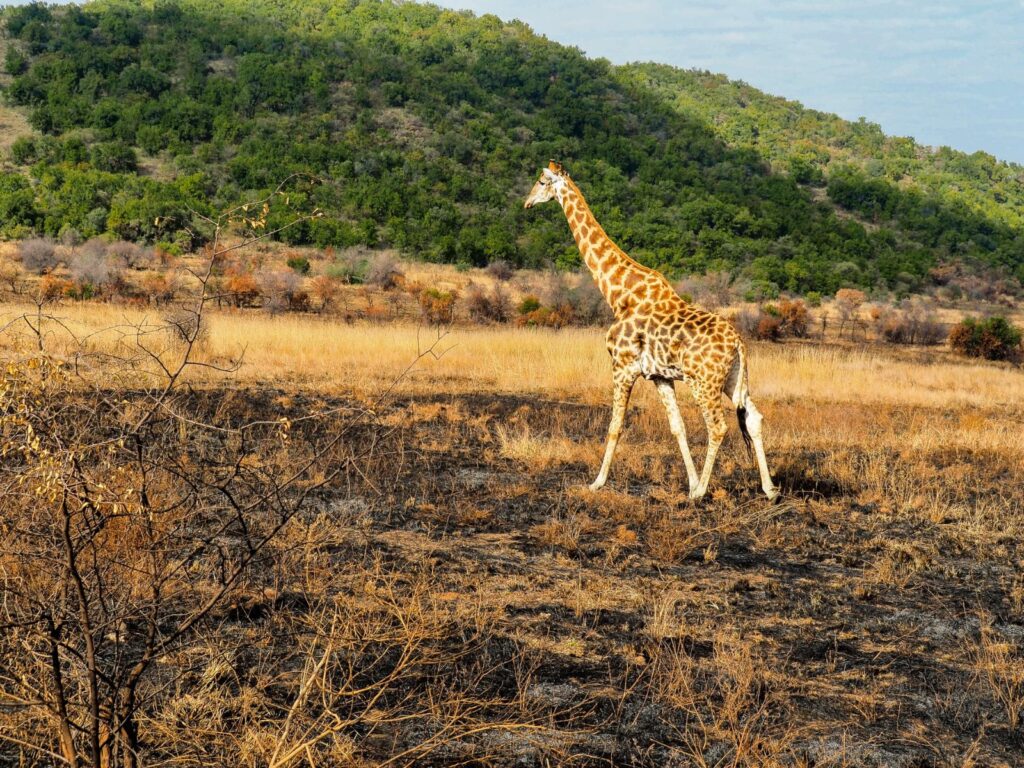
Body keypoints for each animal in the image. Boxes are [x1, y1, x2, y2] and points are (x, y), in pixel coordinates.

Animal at [524, 161, 779, 500]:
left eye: (541, 181)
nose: (527, 202)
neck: (618, 293)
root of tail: (739, 343)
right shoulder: (659, 375)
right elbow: (677, 427)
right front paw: (691, 481)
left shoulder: (622, 366)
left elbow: (615, 426)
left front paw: (597, 482)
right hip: (733, 379)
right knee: (754, 418)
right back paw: (769, 489)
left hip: (704, 383)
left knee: (718, 427)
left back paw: (702, 493)